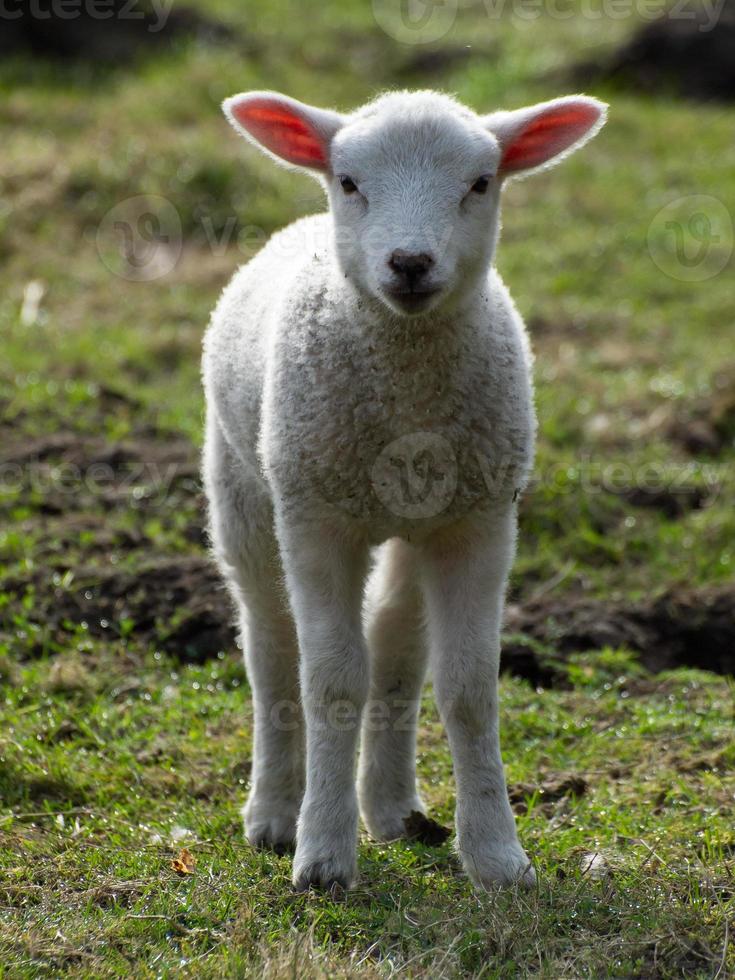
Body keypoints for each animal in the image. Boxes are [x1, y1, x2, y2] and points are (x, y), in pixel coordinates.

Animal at [204, 88, 608, 892]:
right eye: (349, 181)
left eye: (480, 182)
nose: (411, 262)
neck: (409, 391)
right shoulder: (316, 517)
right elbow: (331, 681)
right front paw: (322, 857)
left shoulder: (479, 522)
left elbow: (467, 687)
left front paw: (497, 855)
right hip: (245, 489)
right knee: (270, 646)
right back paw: (274, 812)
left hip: (413, 521)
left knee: (395, 644)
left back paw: (392, 807)